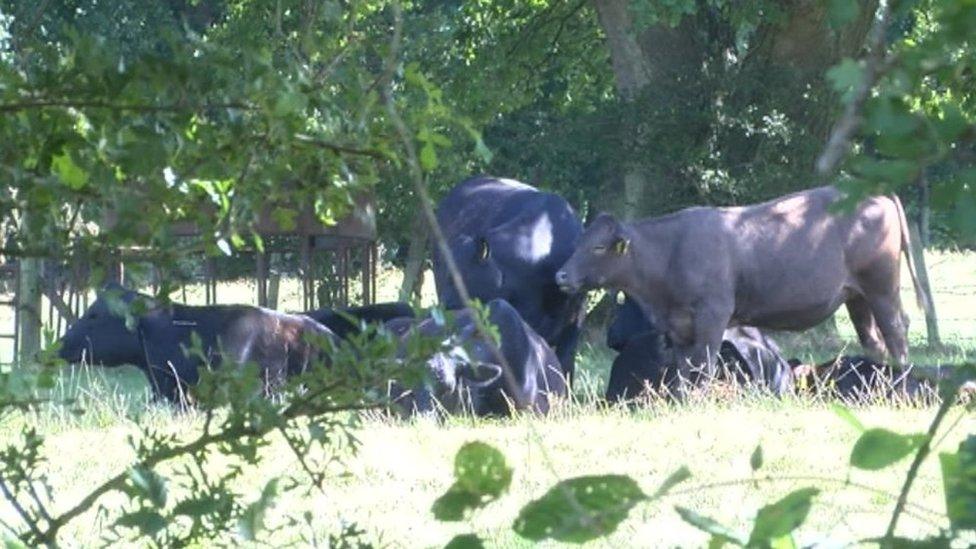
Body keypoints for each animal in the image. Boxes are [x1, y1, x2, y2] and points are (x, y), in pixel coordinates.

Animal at [556, 186, 932, 388]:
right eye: (578, 242)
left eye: (598, 247)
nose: (560, 276)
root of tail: (873, 192)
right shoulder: (678, 326)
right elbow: (684, 368)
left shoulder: (713, 315)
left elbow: (704, 364)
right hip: (857, 297)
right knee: (874, 341)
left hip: (882, 287)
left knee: (896, 332)